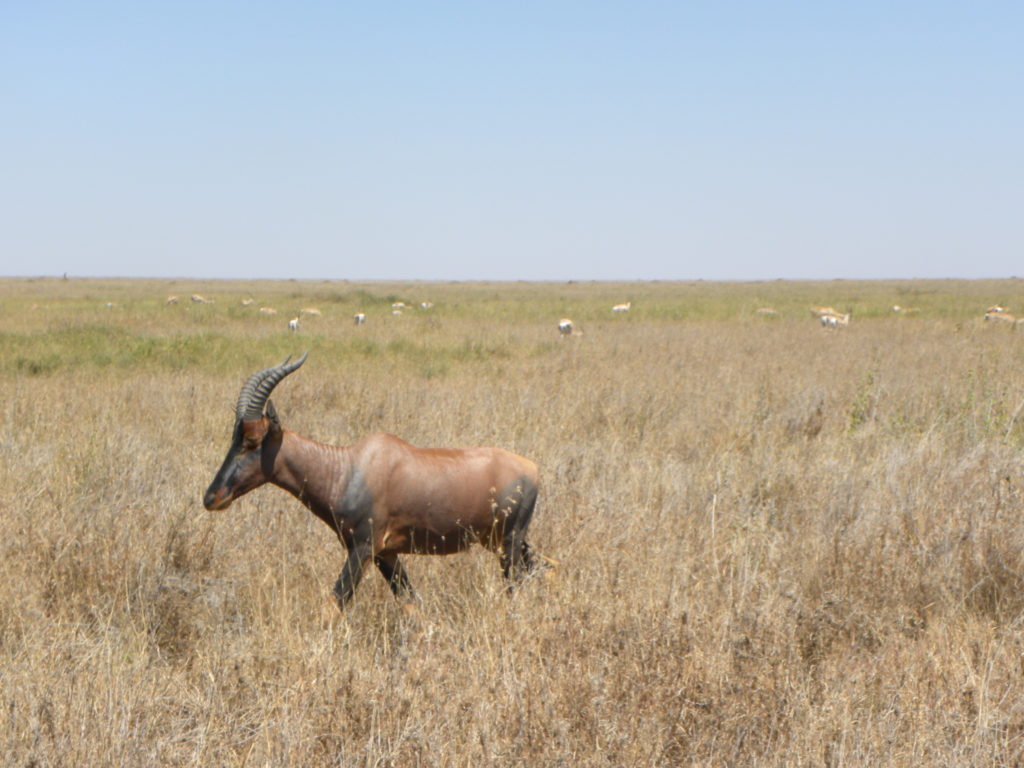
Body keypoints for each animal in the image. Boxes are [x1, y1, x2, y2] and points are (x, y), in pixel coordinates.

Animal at [203, 356, 548, 614]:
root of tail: (532, 468)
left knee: (519, 584)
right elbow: (410, 602)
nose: (212, 497)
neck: (348, 468)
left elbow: (336, 601)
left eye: (252, 439)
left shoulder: (364, 548)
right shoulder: (386, 553)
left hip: (509, 542)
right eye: (234, 436)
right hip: (501, 541)